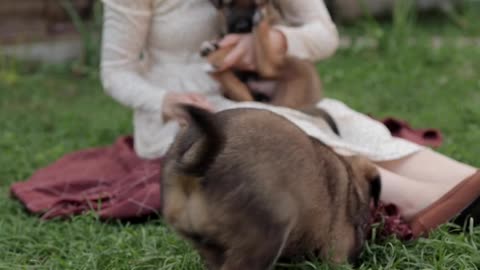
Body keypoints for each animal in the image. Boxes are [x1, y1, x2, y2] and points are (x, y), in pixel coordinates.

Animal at [161, 105, 378, 270]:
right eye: (363, 224)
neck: (351, 184)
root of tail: (198, 152)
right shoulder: (337, 248)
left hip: (210, 246)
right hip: (265, 237)